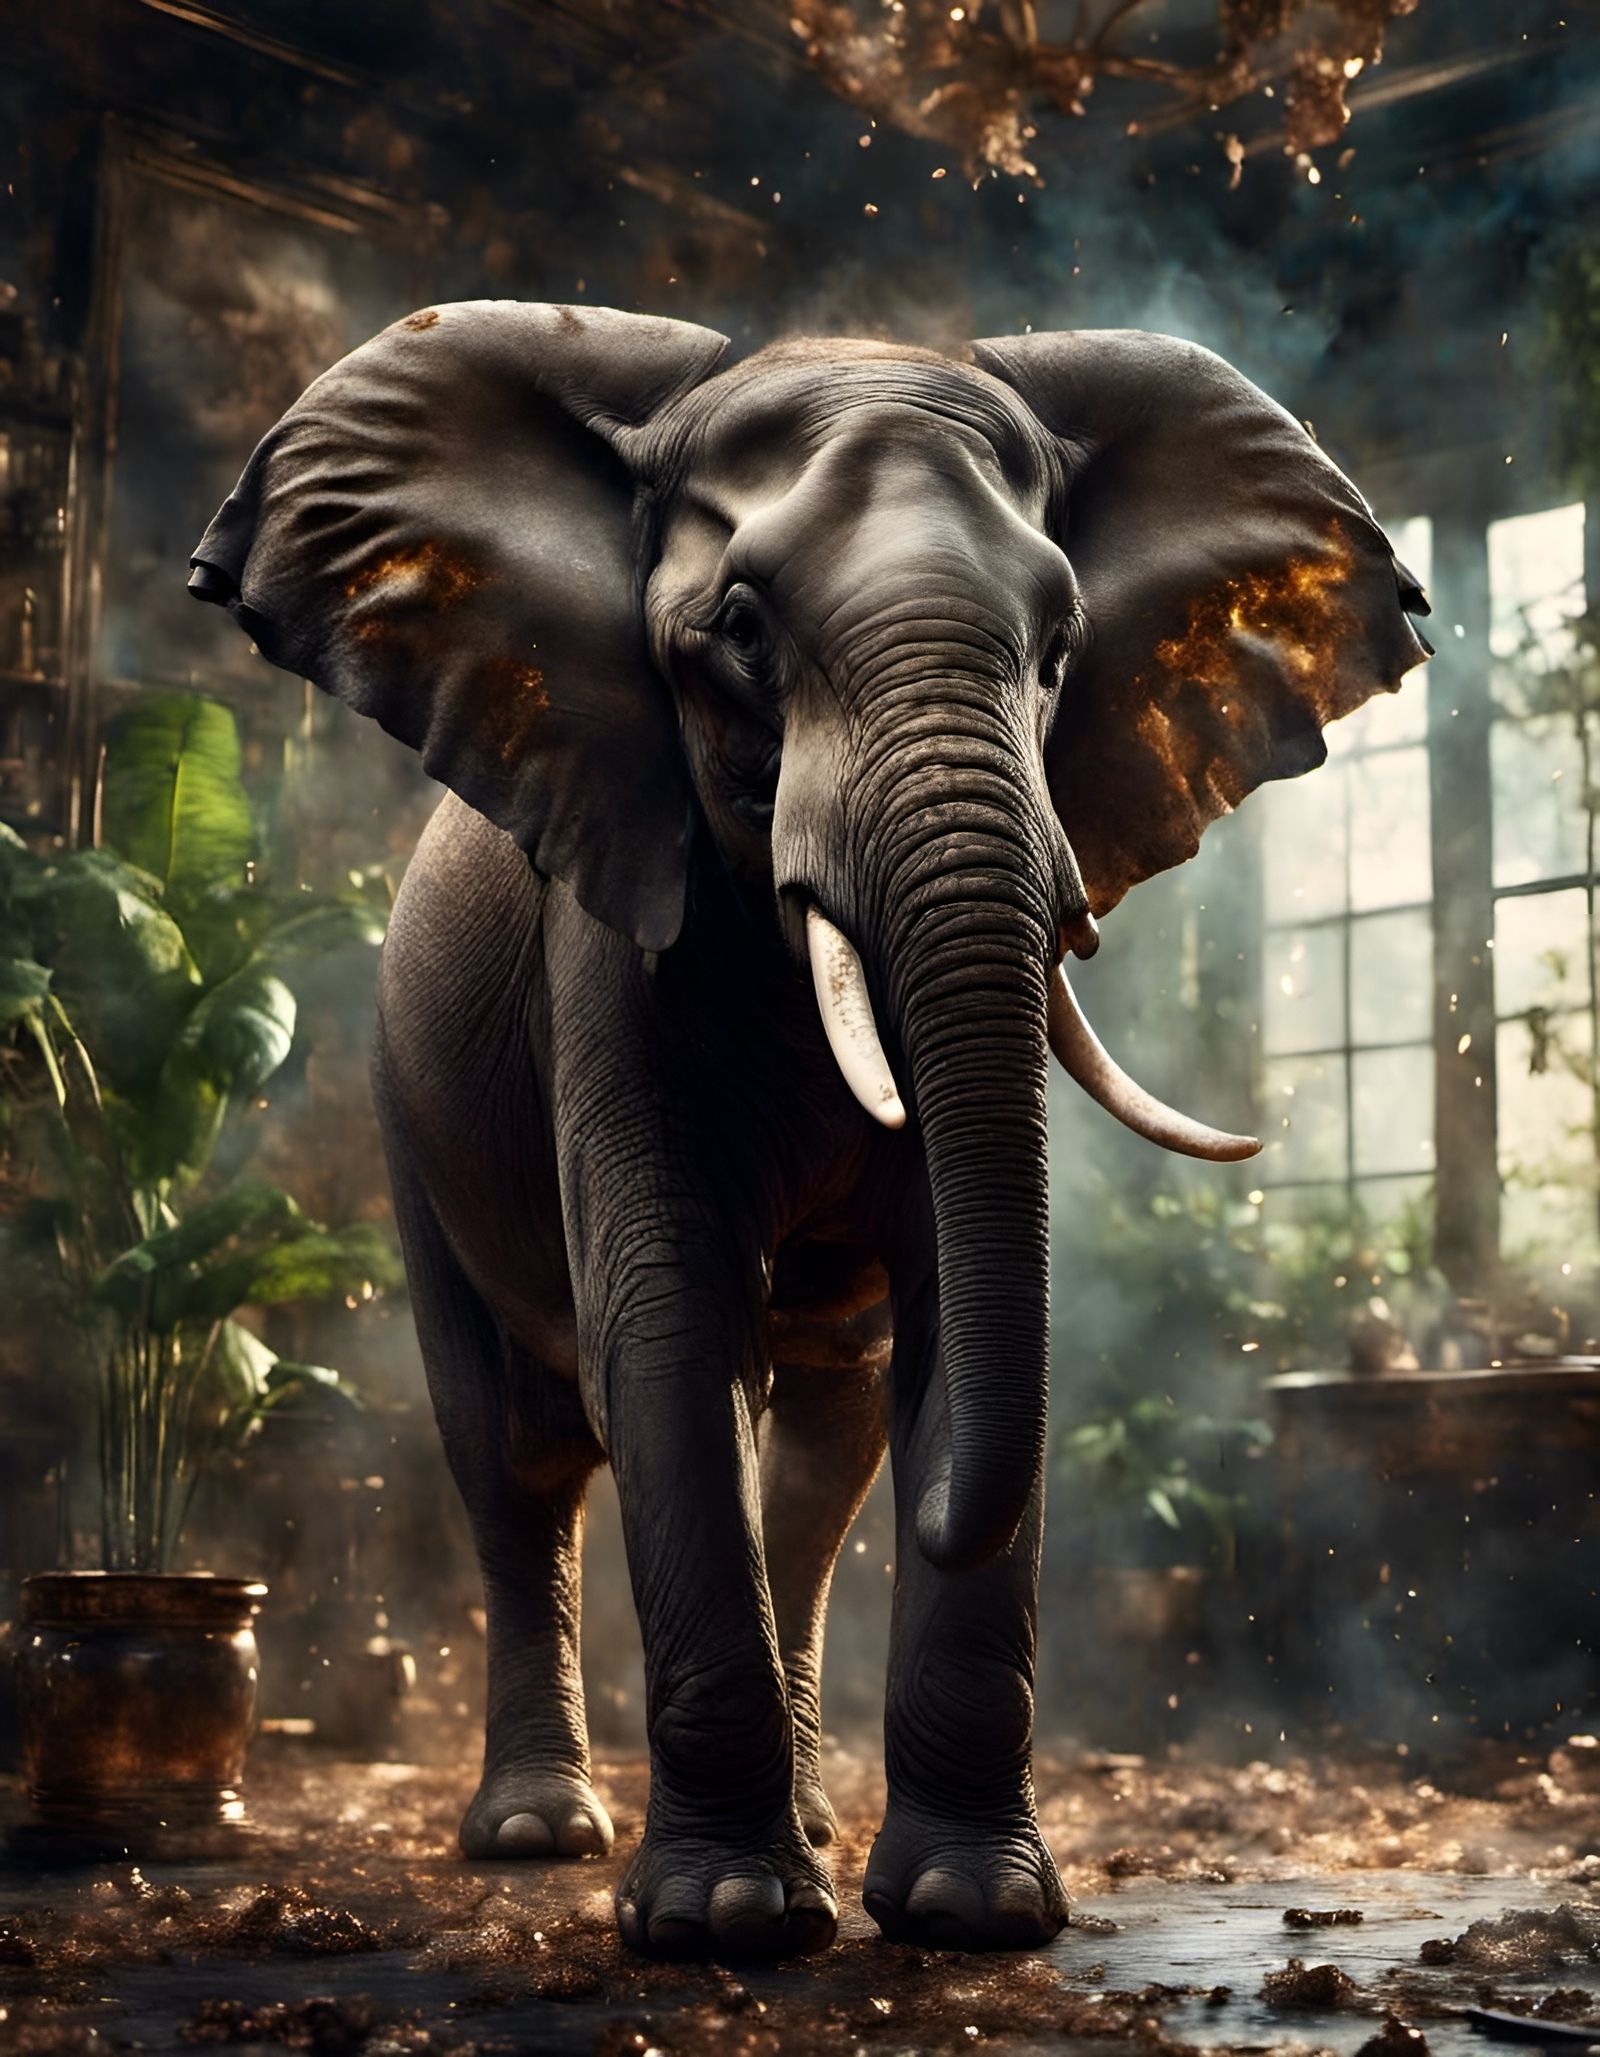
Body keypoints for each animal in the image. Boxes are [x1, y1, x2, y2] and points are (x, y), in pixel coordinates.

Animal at [188, 302, 1430, 1961]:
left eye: (1060, 648)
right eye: (741, 632)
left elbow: (949, 1317)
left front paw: (970, 1912)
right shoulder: (614, 922)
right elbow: (666, 1320)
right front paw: (725, 1921)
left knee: (822, 1454)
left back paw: (812, 1816)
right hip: (403, 1103)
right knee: (514, 1450)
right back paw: (538, 1835)